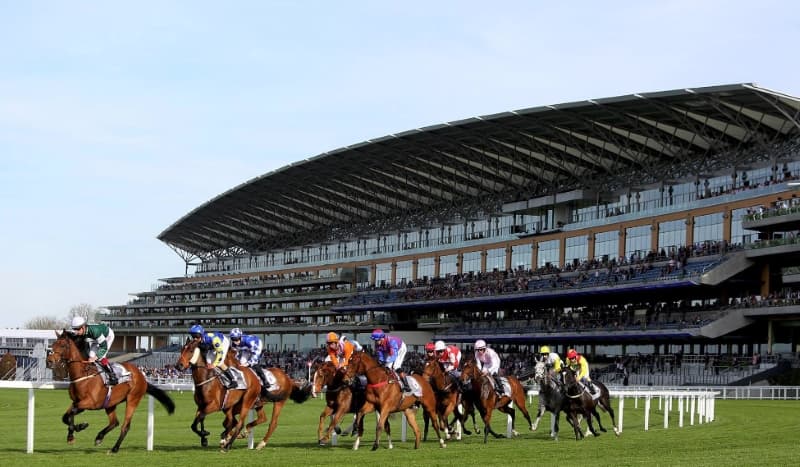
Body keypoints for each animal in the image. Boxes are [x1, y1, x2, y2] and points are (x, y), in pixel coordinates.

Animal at [46, 330, 174, 454]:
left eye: (62, 345)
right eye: (53, 344)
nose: (49, 361)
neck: (83, 375)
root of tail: (141, 376)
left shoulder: (90, 403)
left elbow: (69, 414)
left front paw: (80, 427)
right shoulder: (76, 402)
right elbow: (66, 416)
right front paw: (73, 433)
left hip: (133, 399)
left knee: (125, 426)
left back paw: (115, 448)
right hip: (110, 403)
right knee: (114, 422)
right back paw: (99, 437)